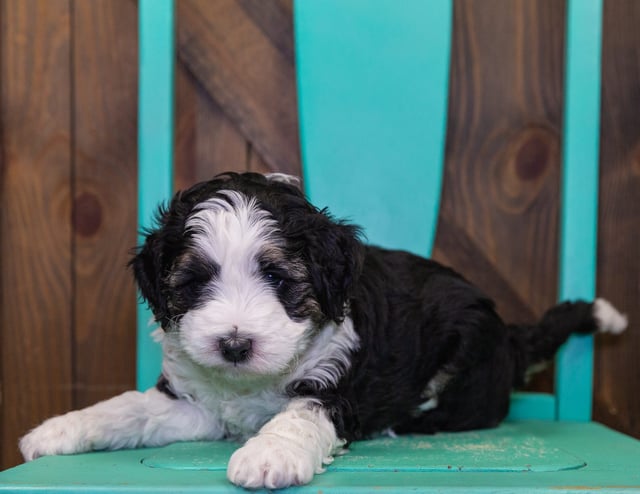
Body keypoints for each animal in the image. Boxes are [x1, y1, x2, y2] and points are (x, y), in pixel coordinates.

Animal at [21, 172, 632, 488]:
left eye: (278, 278)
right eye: (194, 283)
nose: (234, 344)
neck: (252, 385)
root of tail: (509, 337)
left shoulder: (340, 382)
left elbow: (301, 415)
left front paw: (269, 455)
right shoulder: (194, 405)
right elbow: (129, 410)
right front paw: (59, 430)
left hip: (465, 360)